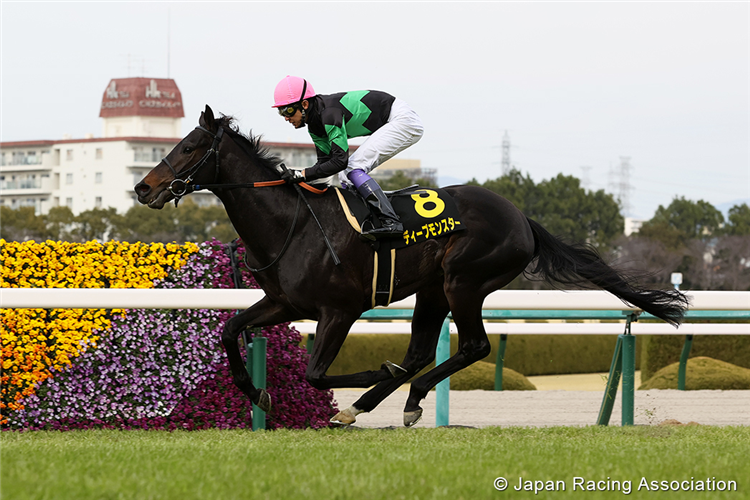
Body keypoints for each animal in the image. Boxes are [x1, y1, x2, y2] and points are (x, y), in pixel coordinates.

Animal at [134, 104, 688, 426]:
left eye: (189, 147)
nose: (142, 187)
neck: (291, 223)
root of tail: (522, 218)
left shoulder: (340, 310)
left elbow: (317, 374)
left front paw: (369, 377)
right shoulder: (283, 302)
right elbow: (231, 330)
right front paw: (258, 394)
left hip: (465, 281)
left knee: (472, 346)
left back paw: (393, 395)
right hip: (432, 289)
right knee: (423, 350)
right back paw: (393, 399)